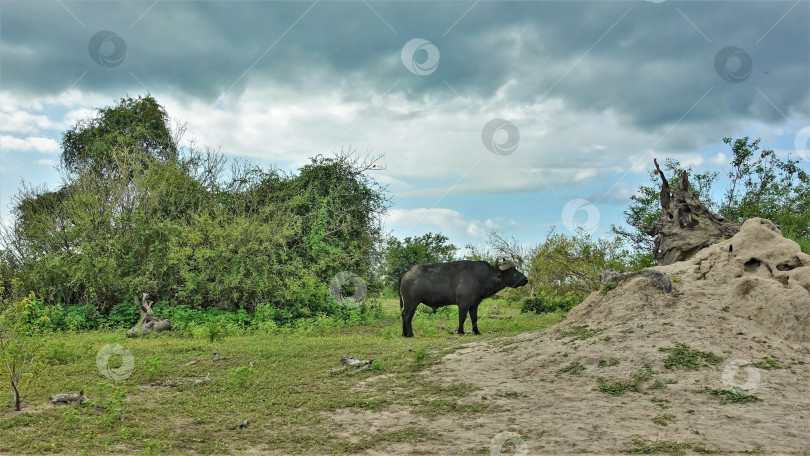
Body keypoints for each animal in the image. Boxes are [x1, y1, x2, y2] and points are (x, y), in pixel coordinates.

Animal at [400, 258, 532, 336]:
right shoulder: (463, 304)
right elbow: (462, 318)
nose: (525, 279)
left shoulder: (474, 304)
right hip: (412, 302)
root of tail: (406, 273)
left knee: (403, 315)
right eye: (512, 271)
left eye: (515, 269)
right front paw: (461, 331)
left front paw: (476, 331)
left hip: (407, 303)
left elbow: (474, 318)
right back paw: (411, 334)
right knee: (407, 316)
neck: (480, 278)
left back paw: (404, 334)